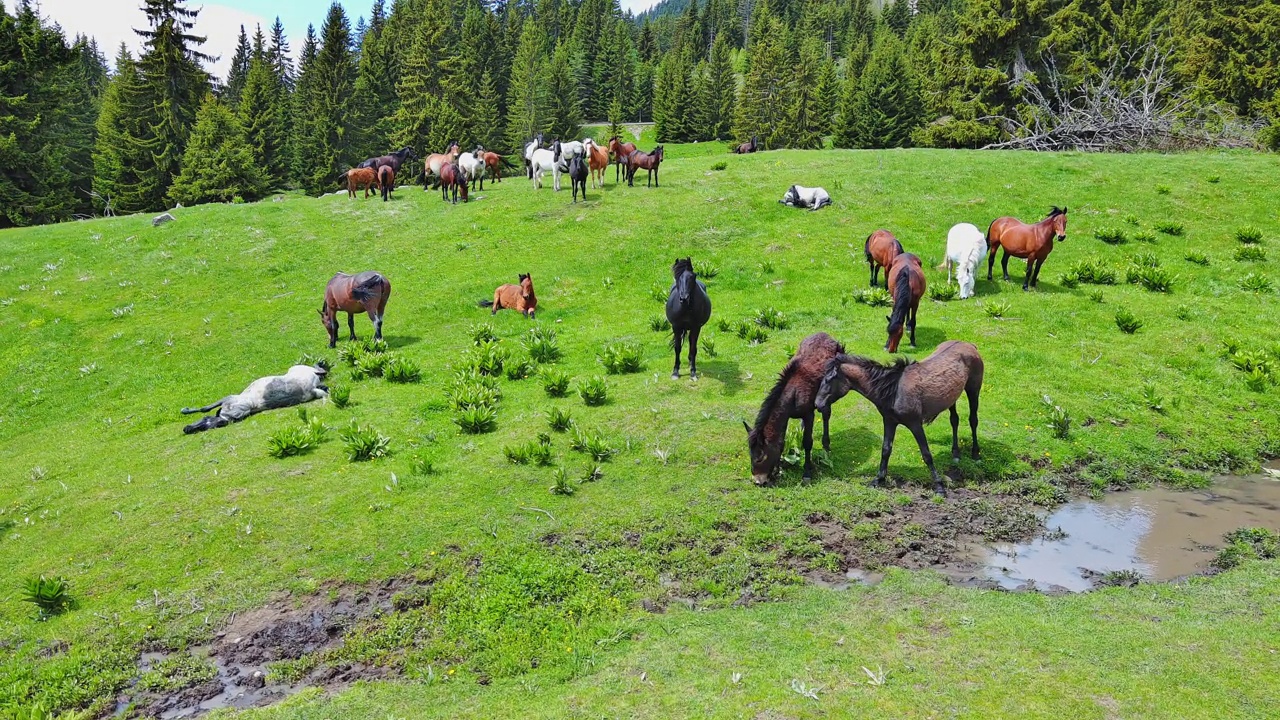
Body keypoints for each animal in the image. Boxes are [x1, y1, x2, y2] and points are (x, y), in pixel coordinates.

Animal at [747, 330, 844, 481]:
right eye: (750, 456)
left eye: (761, 457)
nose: (758, 481)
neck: (793, 394)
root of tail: (824, 334)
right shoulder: (785, 416)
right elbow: (781, 443)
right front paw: (777, 471)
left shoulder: (809, 414)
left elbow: (808, 442)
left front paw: (807, 472)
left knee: (826, 415)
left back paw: (826, 445)